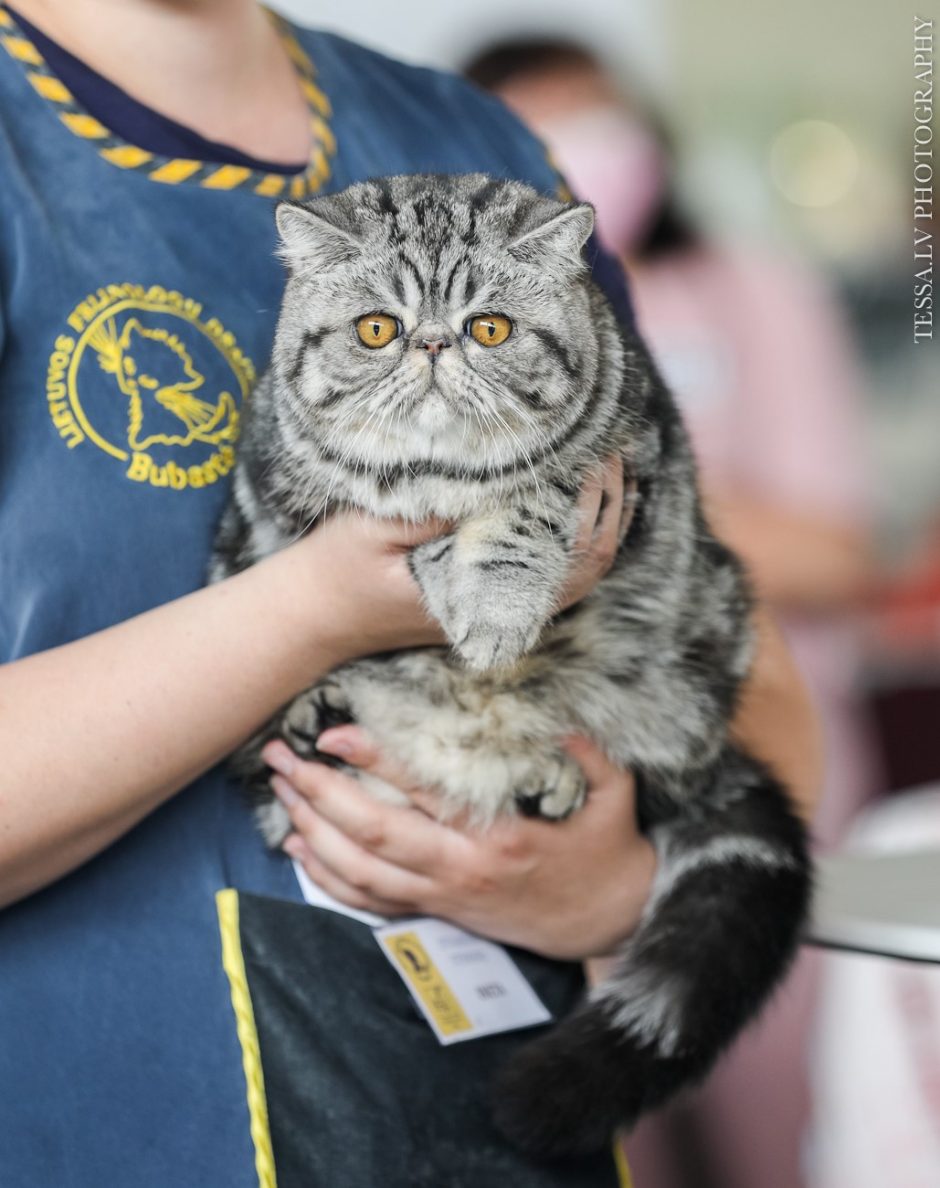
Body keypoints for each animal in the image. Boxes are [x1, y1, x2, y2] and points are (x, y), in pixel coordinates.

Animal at [209, 175, 812, 1159]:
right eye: (377, 327)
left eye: (488, 327)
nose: (431, 343)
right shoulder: (280, 490)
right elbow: (400, 500)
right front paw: (449, 571)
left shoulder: (622, 470)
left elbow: (524, 505)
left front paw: (490, 607)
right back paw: (319, 717)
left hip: (698, 655)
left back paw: (543, 775)